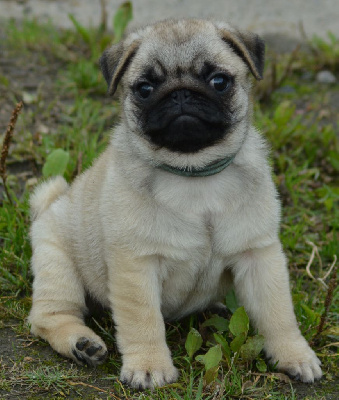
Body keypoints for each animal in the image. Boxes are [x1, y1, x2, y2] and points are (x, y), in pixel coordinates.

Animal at [28, 18, 322, 388]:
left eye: (219, 81)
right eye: (145, 88)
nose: (180, 94)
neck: (194, 176)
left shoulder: (258, 255)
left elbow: (278, 312)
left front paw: (294, 354)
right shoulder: (136, 265)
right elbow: (143, 321)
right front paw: (150, 365)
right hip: (56, 261)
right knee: (49, 315)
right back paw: (81, 343)